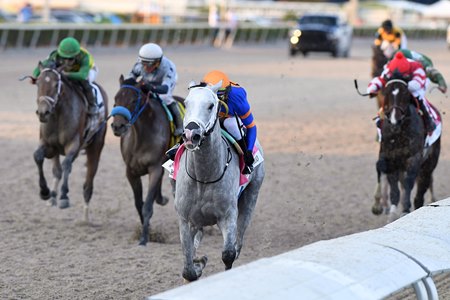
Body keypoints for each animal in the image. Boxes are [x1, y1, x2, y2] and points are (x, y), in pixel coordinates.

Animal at [32, 63, 108, 223]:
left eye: (56, 84)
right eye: (38, 83)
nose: (43, 112)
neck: (58, 115)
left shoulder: (74, 144)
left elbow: (67, 163)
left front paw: (64, 197)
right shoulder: (49, 146)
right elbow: (38, 157)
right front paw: (45, 192)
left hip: (96, 146)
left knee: (88, 183)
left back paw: (85, 217)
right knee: (57, 170)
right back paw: (52, 197)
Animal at [110, 75, 183, 246]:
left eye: (132, 100)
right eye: (116, 99)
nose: (117, 126)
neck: (141, 136)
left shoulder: (154, 169)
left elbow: (147, 206)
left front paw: (144, 238)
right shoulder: (131, 172)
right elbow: (139, 204)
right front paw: (147, 231)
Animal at [174, 80, 266, 282]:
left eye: (210, 105)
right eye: (186, 103)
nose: (191, 134)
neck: (203, 178)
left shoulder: (227, 216)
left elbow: (229, 254)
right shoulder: (186, 219)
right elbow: (188, 268)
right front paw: (197, 265)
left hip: (251, 195)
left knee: (239, 242)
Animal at [372, 78, 440, 221]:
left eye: (405, 94)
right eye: (386, 94)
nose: (394, 121)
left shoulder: (413, 158)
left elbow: (409, 183)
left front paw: (405, 209)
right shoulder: (390, 158)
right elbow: (393, 187)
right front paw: (390, 212)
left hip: (428, 163)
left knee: (422, 187)